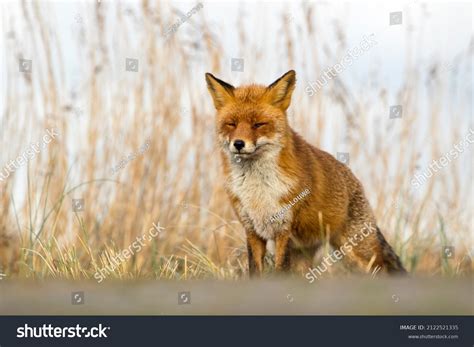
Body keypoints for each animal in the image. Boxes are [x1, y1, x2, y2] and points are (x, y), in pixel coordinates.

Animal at [206, 70, 406, 278]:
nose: (238, 144)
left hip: (357, 251)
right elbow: (255, 270)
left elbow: (280, 269)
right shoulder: (252, 230)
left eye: (258, 124)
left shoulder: (284, 229)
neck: (258, 189)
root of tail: (354, 178)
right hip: (306, 255)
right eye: (231, 124)